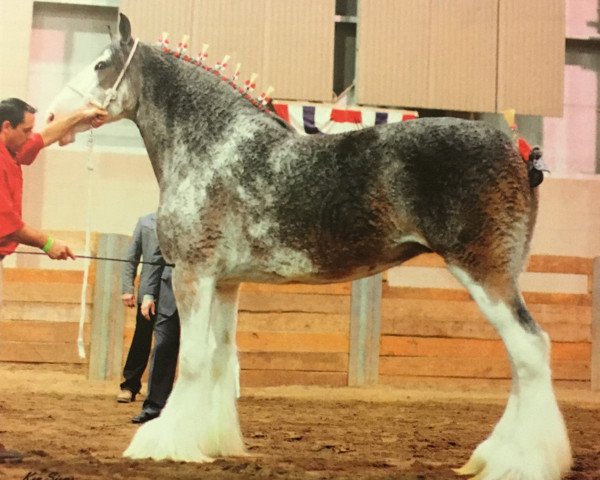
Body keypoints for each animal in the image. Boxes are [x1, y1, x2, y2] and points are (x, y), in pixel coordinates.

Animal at [49, 14, 568, 480]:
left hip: (484, 272)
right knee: (523, 360)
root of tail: (520, 151)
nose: (53, 116)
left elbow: (192, 362)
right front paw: (212, 442)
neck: (214, 148)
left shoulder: (193, 274)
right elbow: (218, 359)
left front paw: (164, 445)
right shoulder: (224, 283)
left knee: (529, 349)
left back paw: (518, 463)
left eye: (100, 64)